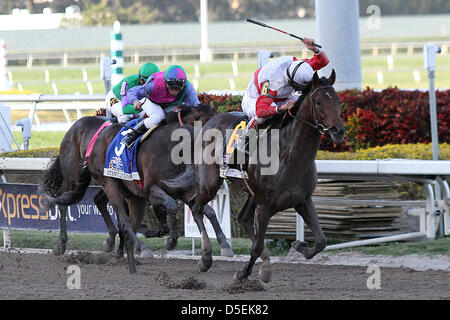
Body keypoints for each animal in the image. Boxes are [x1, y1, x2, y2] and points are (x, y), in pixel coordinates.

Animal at [186, 70, 344, 282]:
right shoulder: (265, 205)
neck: (288, 156)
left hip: (252, 192)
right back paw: (206, 257)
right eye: (319, 102)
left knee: (243, 218)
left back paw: (265, 263)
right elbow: (256, 246)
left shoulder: (302, 199)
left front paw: (299, 245)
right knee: (196, 206)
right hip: (210, 182)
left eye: (337, 100)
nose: (338, 130)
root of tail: (210, 120)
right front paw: (243, 273)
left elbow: (321, 241)